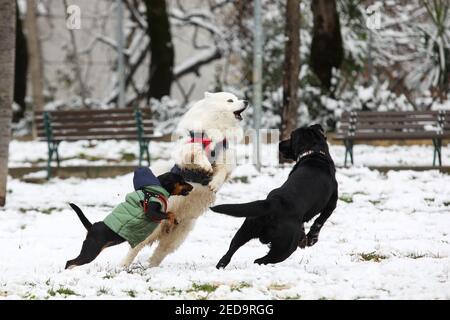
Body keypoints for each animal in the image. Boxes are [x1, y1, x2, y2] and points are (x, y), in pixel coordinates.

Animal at [120, 91, 246, 266]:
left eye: (237, 98)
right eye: (230, 100)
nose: (246, 101)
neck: (216, 130)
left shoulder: (225, 157)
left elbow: (222, 172)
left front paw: (214, 184)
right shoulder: (189, 148)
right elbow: (197, 153)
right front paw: (205, 166)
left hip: (179, 234)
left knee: (160, 252)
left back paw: (151, 267)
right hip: (152, 226)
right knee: (136, 246)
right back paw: (123, 266)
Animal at [211, 124, 338, 268]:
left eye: (291, 137)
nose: (280, 144)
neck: (313, 152)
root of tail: (274, 203)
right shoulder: (332, 203)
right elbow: (320, 220)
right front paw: (311, 238)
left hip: (247, 228)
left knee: (231, 249)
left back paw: (221, 265)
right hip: (285, 248)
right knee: (261, 260)